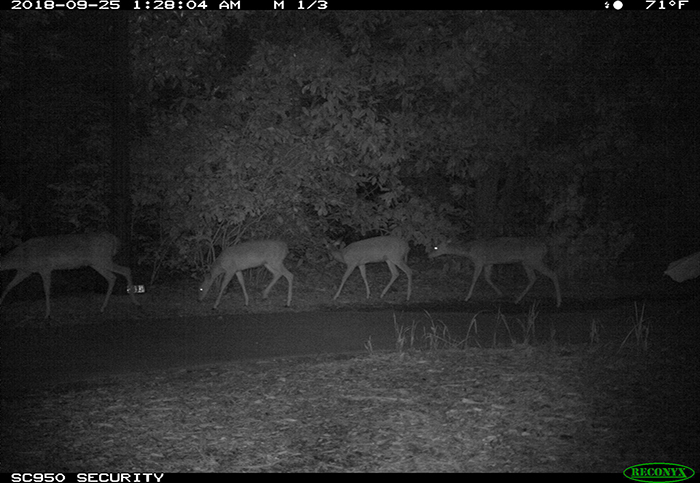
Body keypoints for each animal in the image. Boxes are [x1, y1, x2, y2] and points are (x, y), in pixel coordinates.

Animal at [0, 233, 141, 320]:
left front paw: (47, 314)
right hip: (96, 262)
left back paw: (133, 302)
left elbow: (46, 290)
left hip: (102, 259)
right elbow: (8, 286)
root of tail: (114, 238)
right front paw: (1, 302)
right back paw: (104, 307)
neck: (22, 257)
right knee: (114, 276)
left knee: (124, 271)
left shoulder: (45, 268)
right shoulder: (24, 271)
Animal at [426, 237, 564, 306]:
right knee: (533, 278)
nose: (429, 255)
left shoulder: (479, 260)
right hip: (526, 261)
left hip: (534, 259)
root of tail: (545, 247)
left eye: (436, 247)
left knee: (552, 273)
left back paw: (558, 302)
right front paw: (501, 293)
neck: (469, 251)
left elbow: (475, 278)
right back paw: (517, 299)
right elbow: (487, 278)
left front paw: (467, 297)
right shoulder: (489, 263)